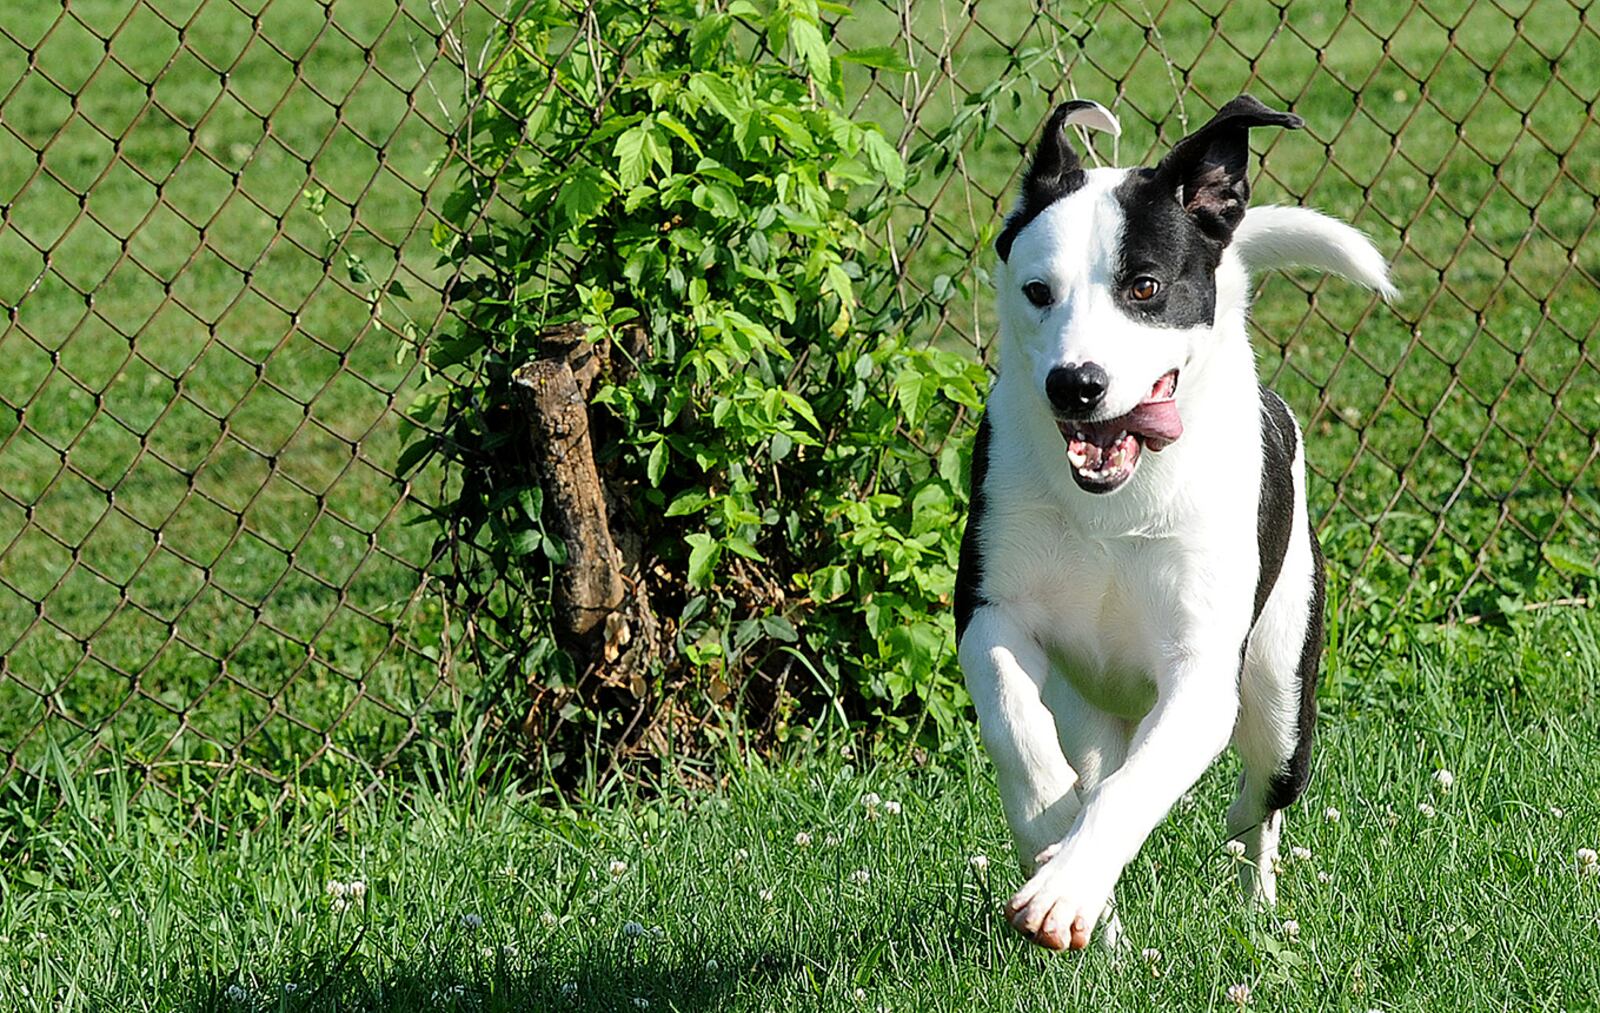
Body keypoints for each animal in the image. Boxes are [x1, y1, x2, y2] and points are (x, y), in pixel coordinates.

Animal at [953, 92, 1395, 947]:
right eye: (1036, 291)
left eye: (1145, 287)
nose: (1075, 383)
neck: (1114, 505)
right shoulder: (991, 611)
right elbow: (1013, 718)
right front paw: (1049, 831)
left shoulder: (1199, 674)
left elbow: (1139, 787)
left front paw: (1065, 887)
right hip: (1093, 709)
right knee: (1097, 762)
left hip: (1283, 692)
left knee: (1260, 803)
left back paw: (1256, 903)